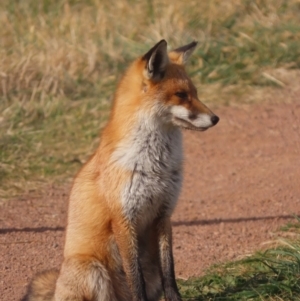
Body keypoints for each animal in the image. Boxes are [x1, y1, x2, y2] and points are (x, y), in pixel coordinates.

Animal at [21, 40, 218, 300]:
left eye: (195, 93)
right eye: (181, 95)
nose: (215, 118)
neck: (155, 165)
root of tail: (57, 290)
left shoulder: (164, 214)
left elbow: (170, 272)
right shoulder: (124, 218)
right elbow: (135, 279)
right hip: (93, 269)